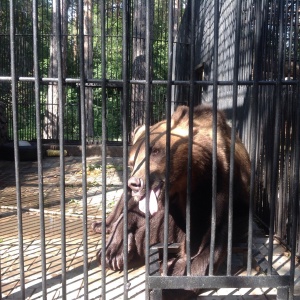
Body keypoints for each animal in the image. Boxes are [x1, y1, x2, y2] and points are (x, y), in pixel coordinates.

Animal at [92, 104, 251, 298]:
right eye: (132, 161)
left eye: (155, 151)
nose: (135, 183)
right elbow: (136, 212)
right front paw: (113, 250)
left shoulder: (219, 192)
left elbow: (211, 241)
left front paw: (172, 276)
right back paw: (104, 230)